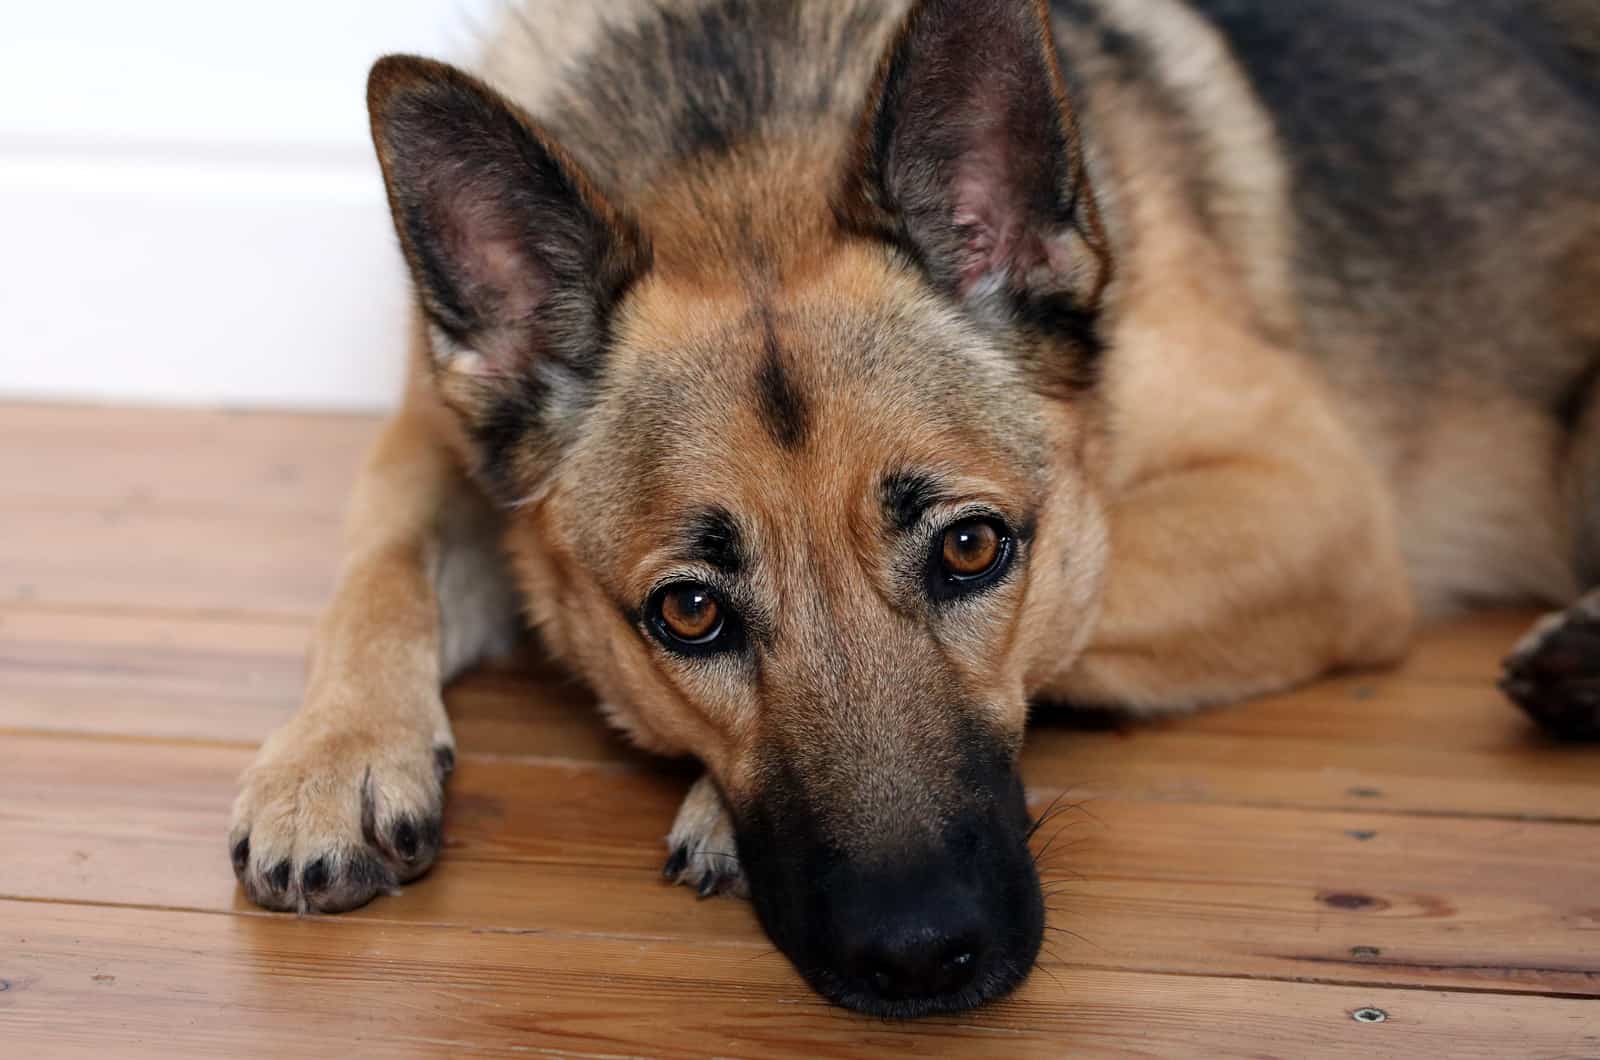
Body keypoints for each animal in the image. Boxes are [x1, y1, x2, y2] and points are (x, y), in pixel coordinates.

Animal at [228, 0, 1600, 1024]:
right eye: (688, 614)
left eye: (973, 547)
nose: (919, 956)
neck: (741, 133)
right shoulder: (430, 445)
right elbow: (376, 565)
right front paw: (332, 755)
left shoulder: (1313, 502)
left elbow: (1088, 600)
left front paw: (710, 813)